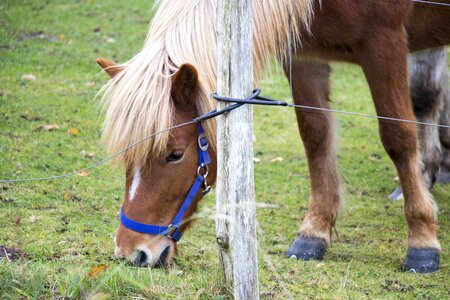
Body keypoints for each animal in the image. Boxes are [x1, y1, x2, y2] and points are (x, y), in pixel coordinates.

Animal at [96, 0, 448, 272]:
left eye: (175, 154)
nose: (132, 252)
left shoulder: (384, 41)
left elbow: (398, 135)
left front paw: (422, 239)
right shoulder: (304, 54)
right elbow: (315, 134)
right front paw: (314, 231)